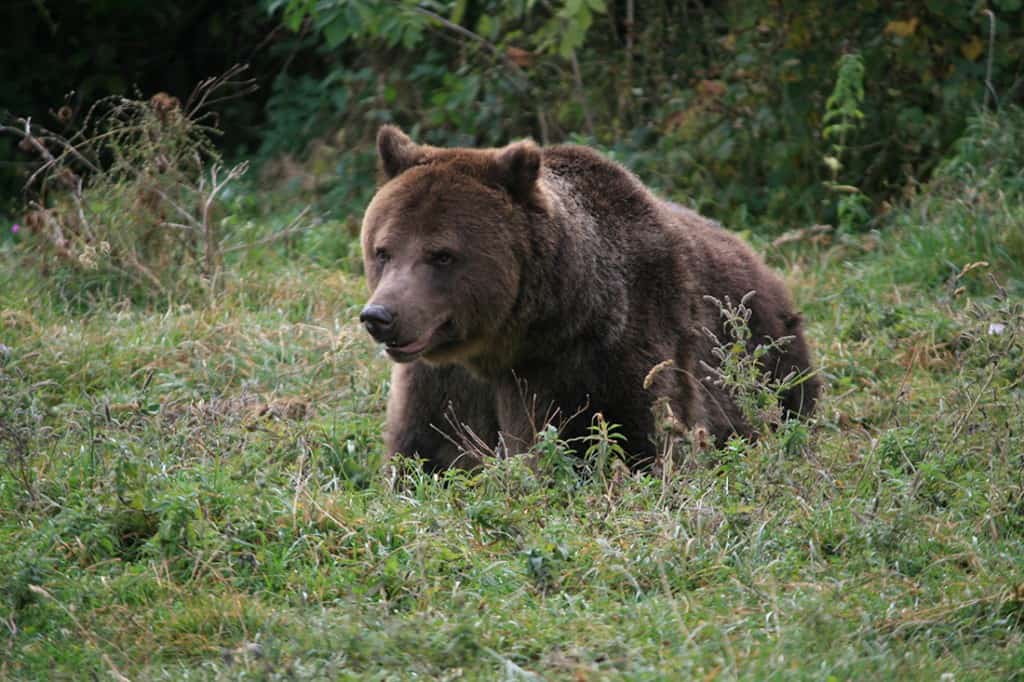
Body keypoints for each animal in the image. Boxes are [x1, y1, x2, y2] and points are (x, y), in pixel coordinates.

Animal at [360, 124, 823, 471]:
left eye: (441, 254)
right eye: (383, 250)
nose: (380, 316)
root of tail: (761, 263)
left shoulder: (606, 359)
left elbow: (637, 440)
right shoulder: (442, 382)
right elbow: (425, 451)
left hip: (769, 357)